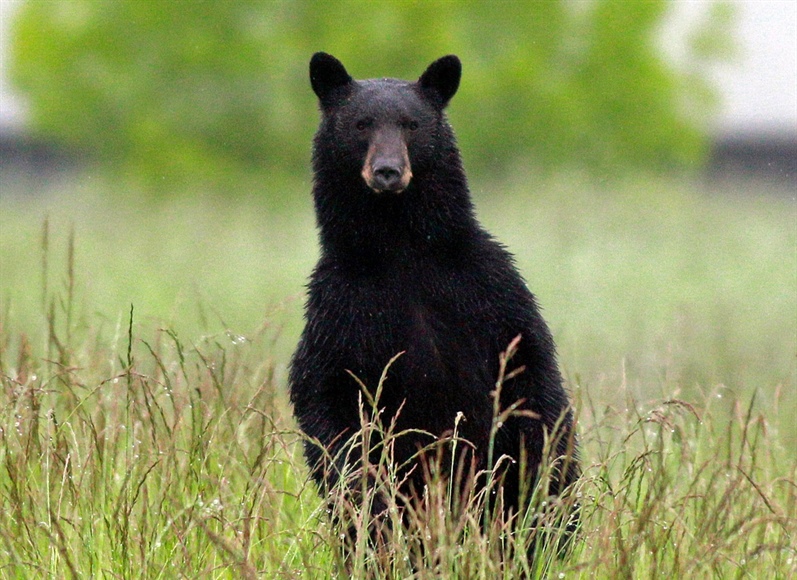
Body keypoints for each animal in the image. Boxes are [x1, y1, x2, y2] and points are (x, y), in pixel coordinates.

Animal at [290, 53, 576, 552]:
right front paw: (368, 498)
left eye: (412, 124)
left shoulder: (489, 290)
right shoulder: (340, 308)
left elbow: (532, 377)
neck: (402, 249)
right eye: (361, 124)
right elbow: (328, 402)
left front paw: (539, 484)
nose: (387, 171)